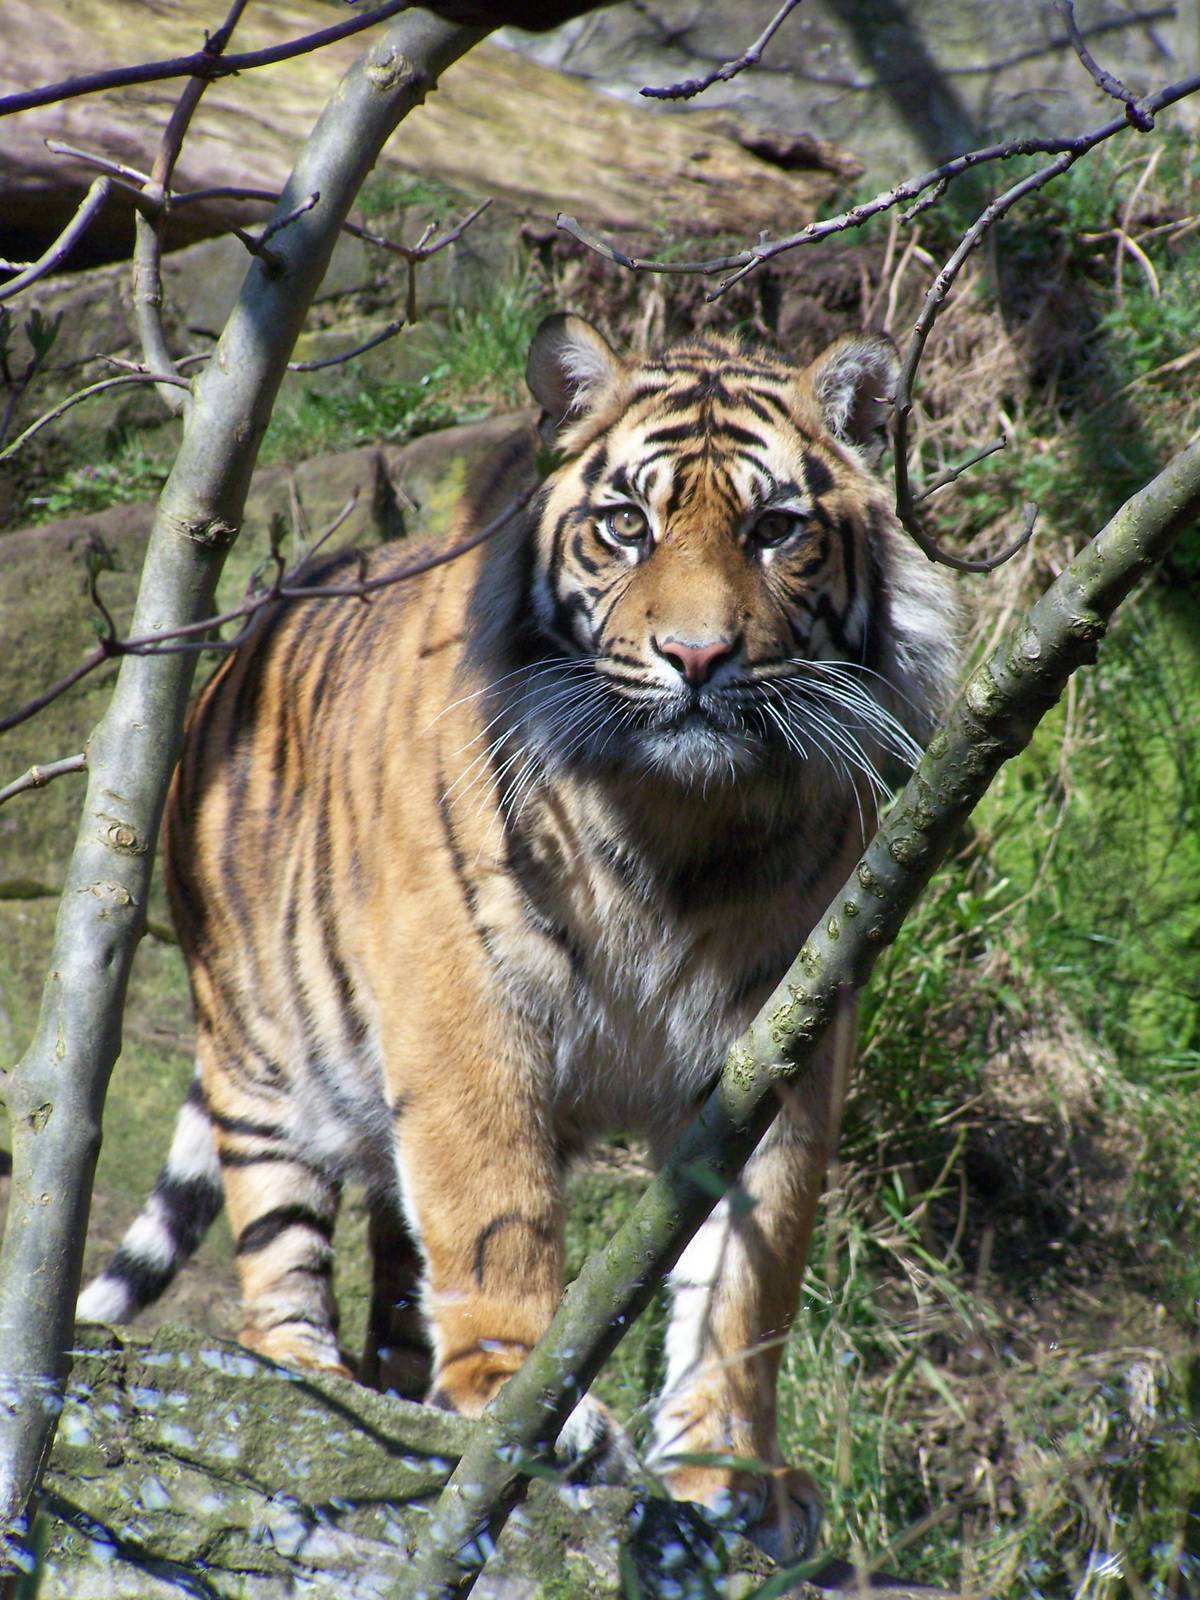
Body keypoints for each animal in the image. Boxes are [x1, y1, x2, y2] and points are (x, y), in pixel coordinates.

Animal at [78, 312, 957, 1561]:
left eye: (775, 529)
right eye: (626, 524)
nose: (698, 658)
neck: (681, 820)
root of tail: (230, 656)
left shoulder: (785, 1035)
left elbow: (752, 1270)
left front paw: (732, 1471)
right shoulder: (460, 1001)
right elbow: (496, 1207)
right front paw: (518, 1401)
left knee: (397, 1257)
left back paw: (401, 1386)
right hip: (261, 1056)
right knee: (280, 1256)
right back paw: (311, 1387)